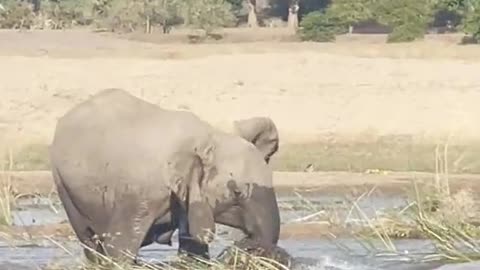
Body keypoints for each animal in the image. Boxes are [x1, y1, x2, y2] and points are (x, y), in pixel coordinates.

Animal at [48, 88, 282, 264]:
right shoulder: (140, 192)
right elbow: (119, 249)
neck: (208, 137)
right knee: (89, 240)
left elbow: (193, 250)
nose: (247, 246)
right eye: (236, 192)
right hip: (63, 182)